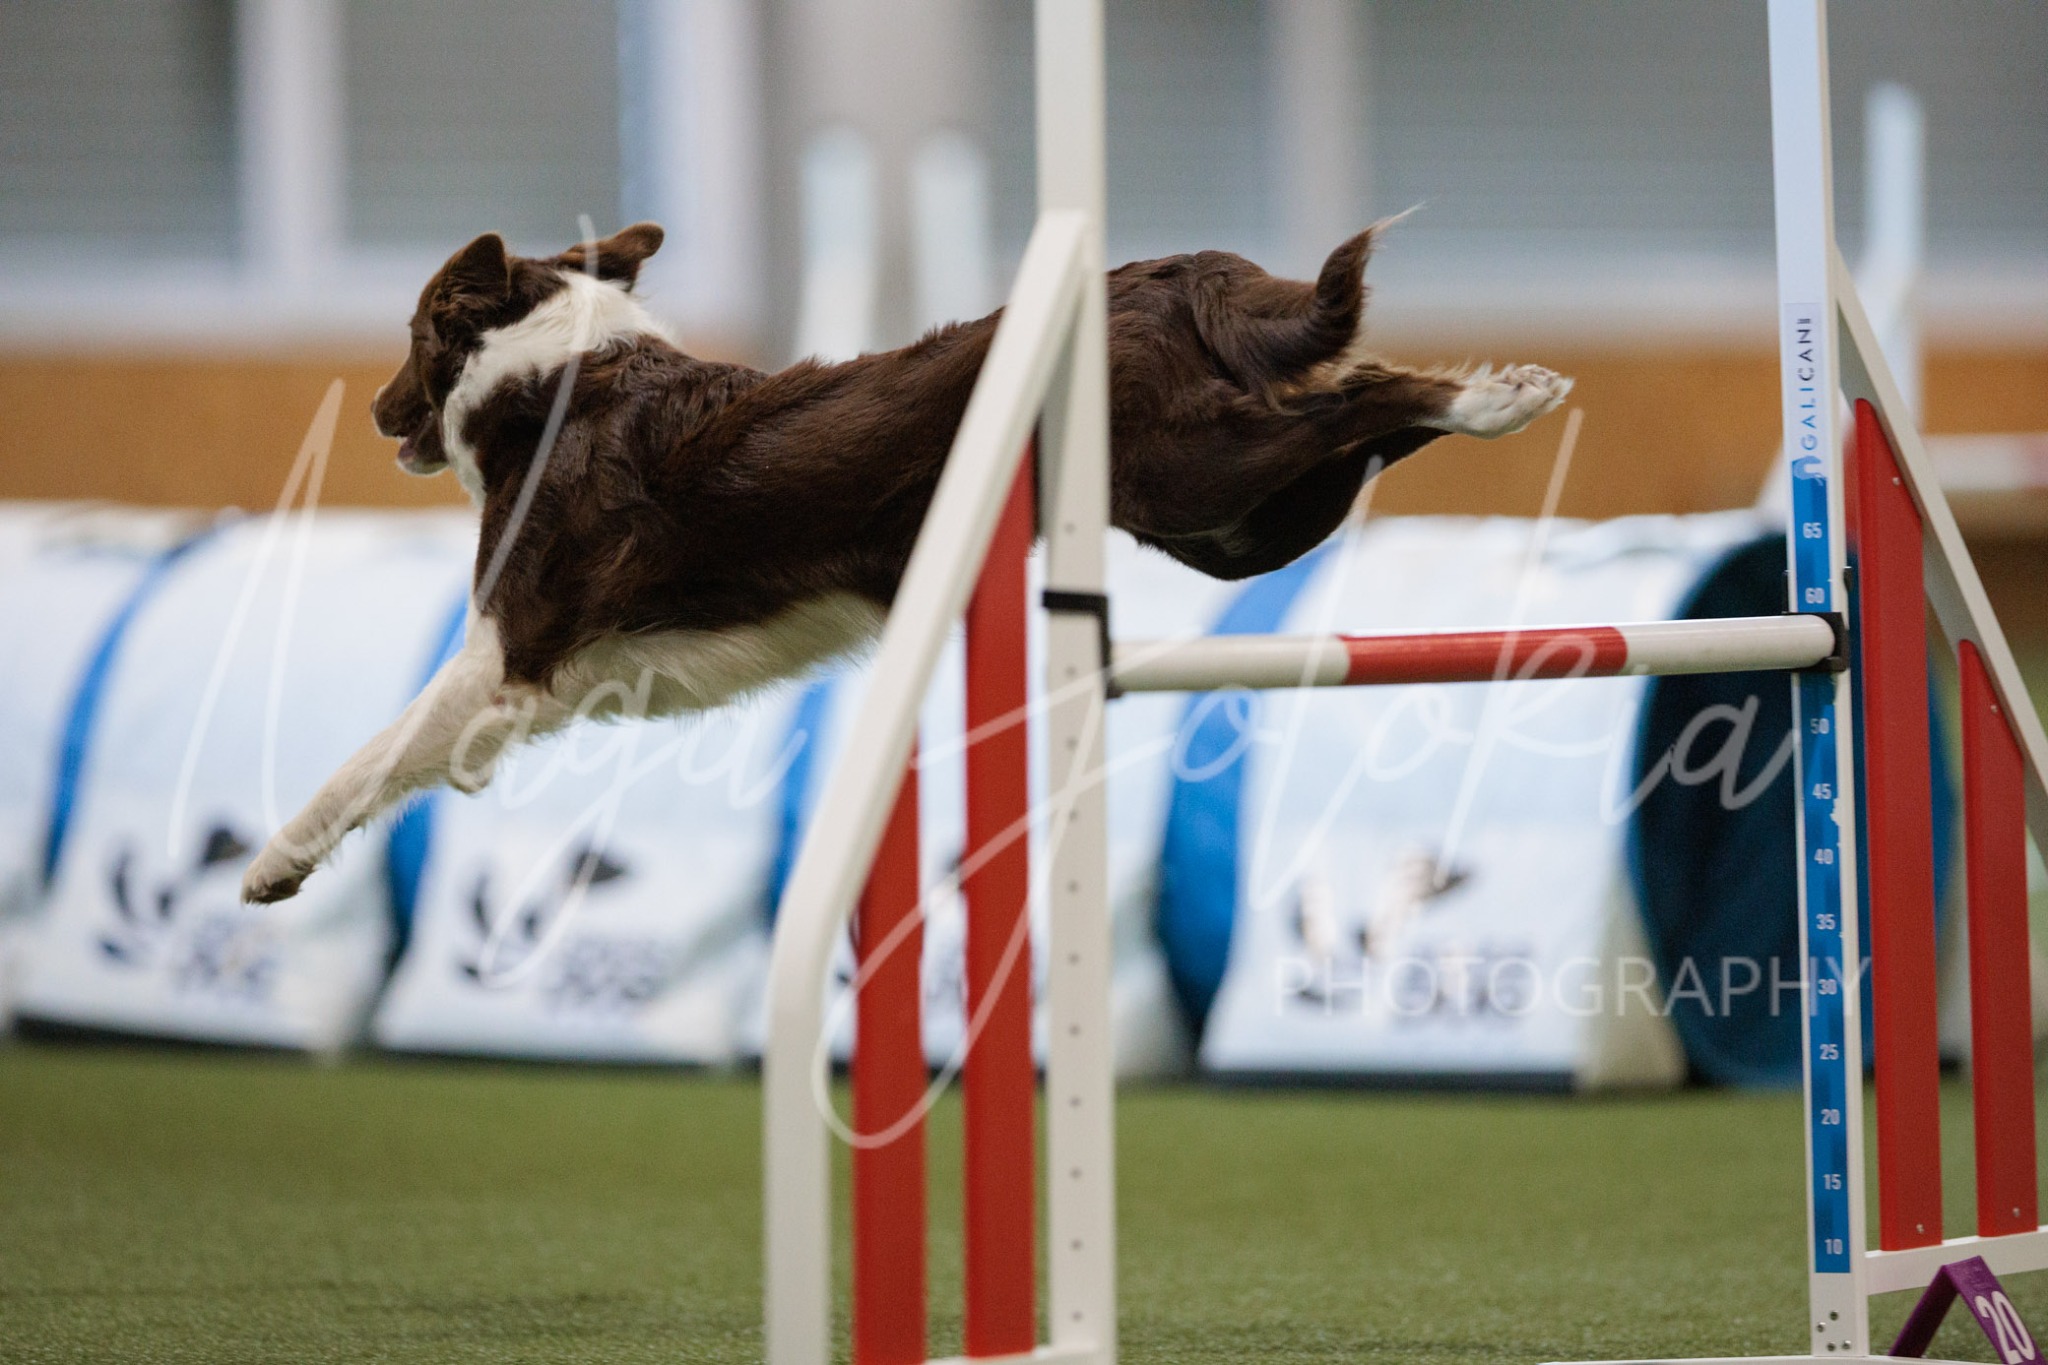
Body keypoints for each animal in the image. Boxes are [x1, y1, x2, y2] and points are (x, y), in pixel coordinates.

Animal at [241, 221, 1568, 903]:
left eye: (415, 332)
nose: (376, 410)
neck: (556, 375)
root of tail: (1165, 274)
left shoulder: (508, 656)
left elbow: (366, 758)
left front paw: (272, 866)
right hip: (1238, 530)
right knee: (1353, 402)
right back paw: (1499, 393)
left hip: (1201, 480)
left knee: (1360, 394)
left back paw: (1499, 396)